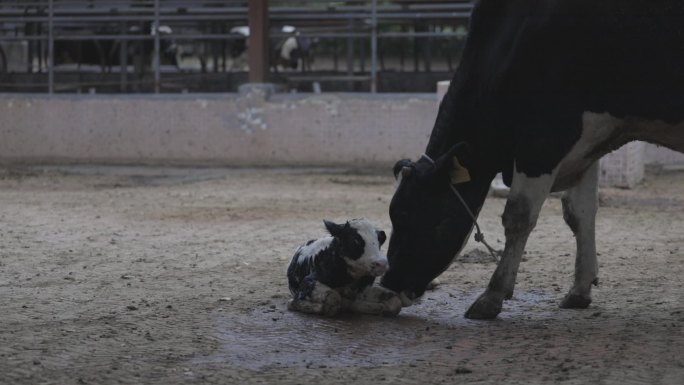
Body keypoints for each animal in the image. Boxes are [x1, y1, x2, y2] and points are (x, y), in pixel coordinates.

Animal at [382, 0, 680, 318]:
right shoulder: (587, 141)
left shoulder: (544, 137)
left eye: (405, 214)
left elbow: (518, 215)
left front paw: (492, 295)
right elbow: (579, 212)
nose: (388, 284)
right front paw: (579, 289)